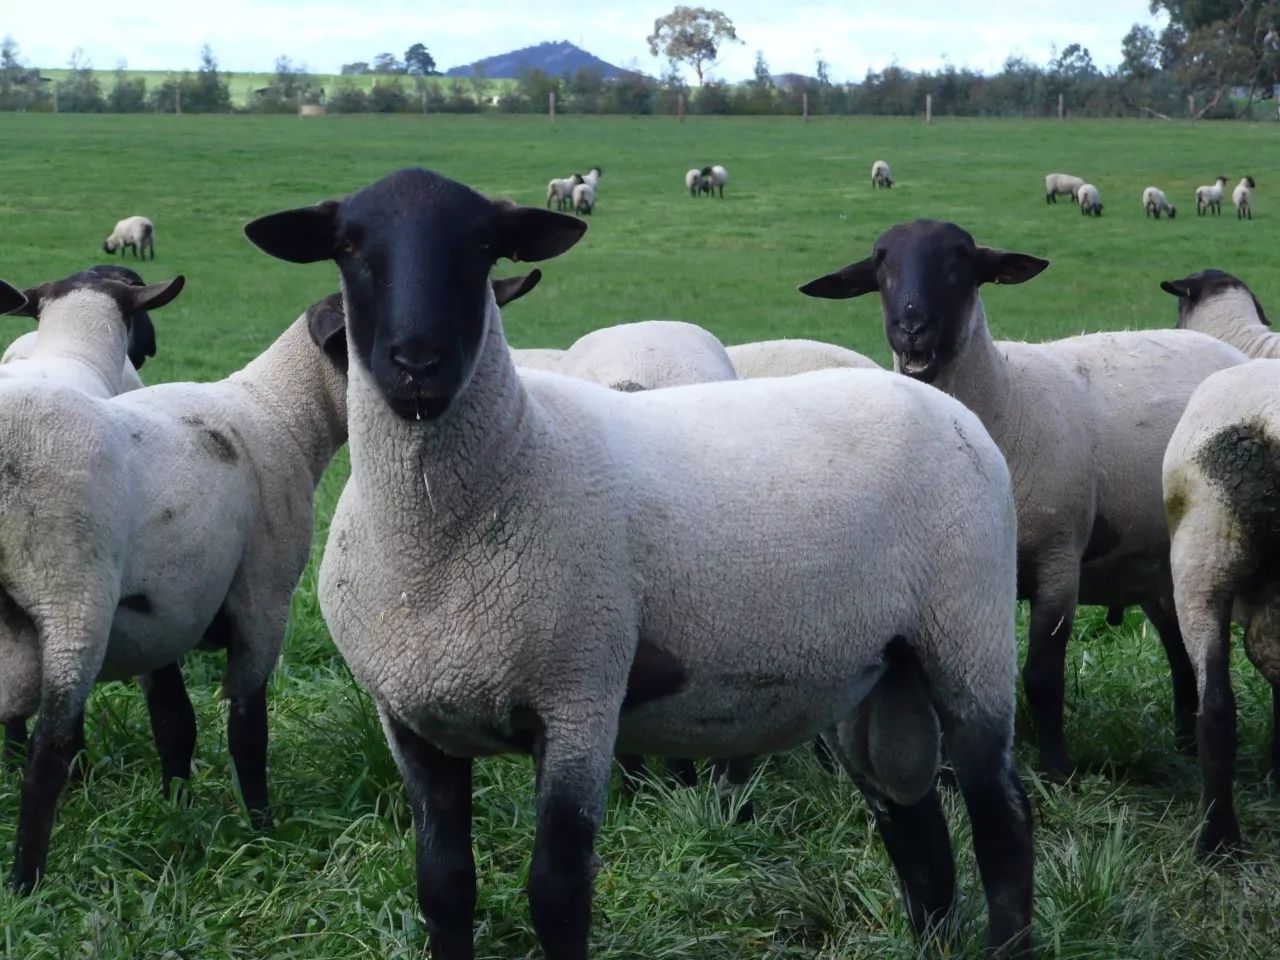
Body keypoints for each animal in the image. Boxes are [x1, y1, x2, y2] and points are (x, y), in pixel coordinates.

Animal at [798, 217, 1249, 783]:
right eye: (881, 265)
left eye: (961, 262)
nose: (912, 327)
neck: (1005, 397)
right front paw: (951, 773)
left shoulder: (1057, 560)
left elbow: (1041, 676)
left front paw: (1056, 769)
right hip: (1151, 561)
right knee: (1176, 644)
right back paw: (1186, 741)